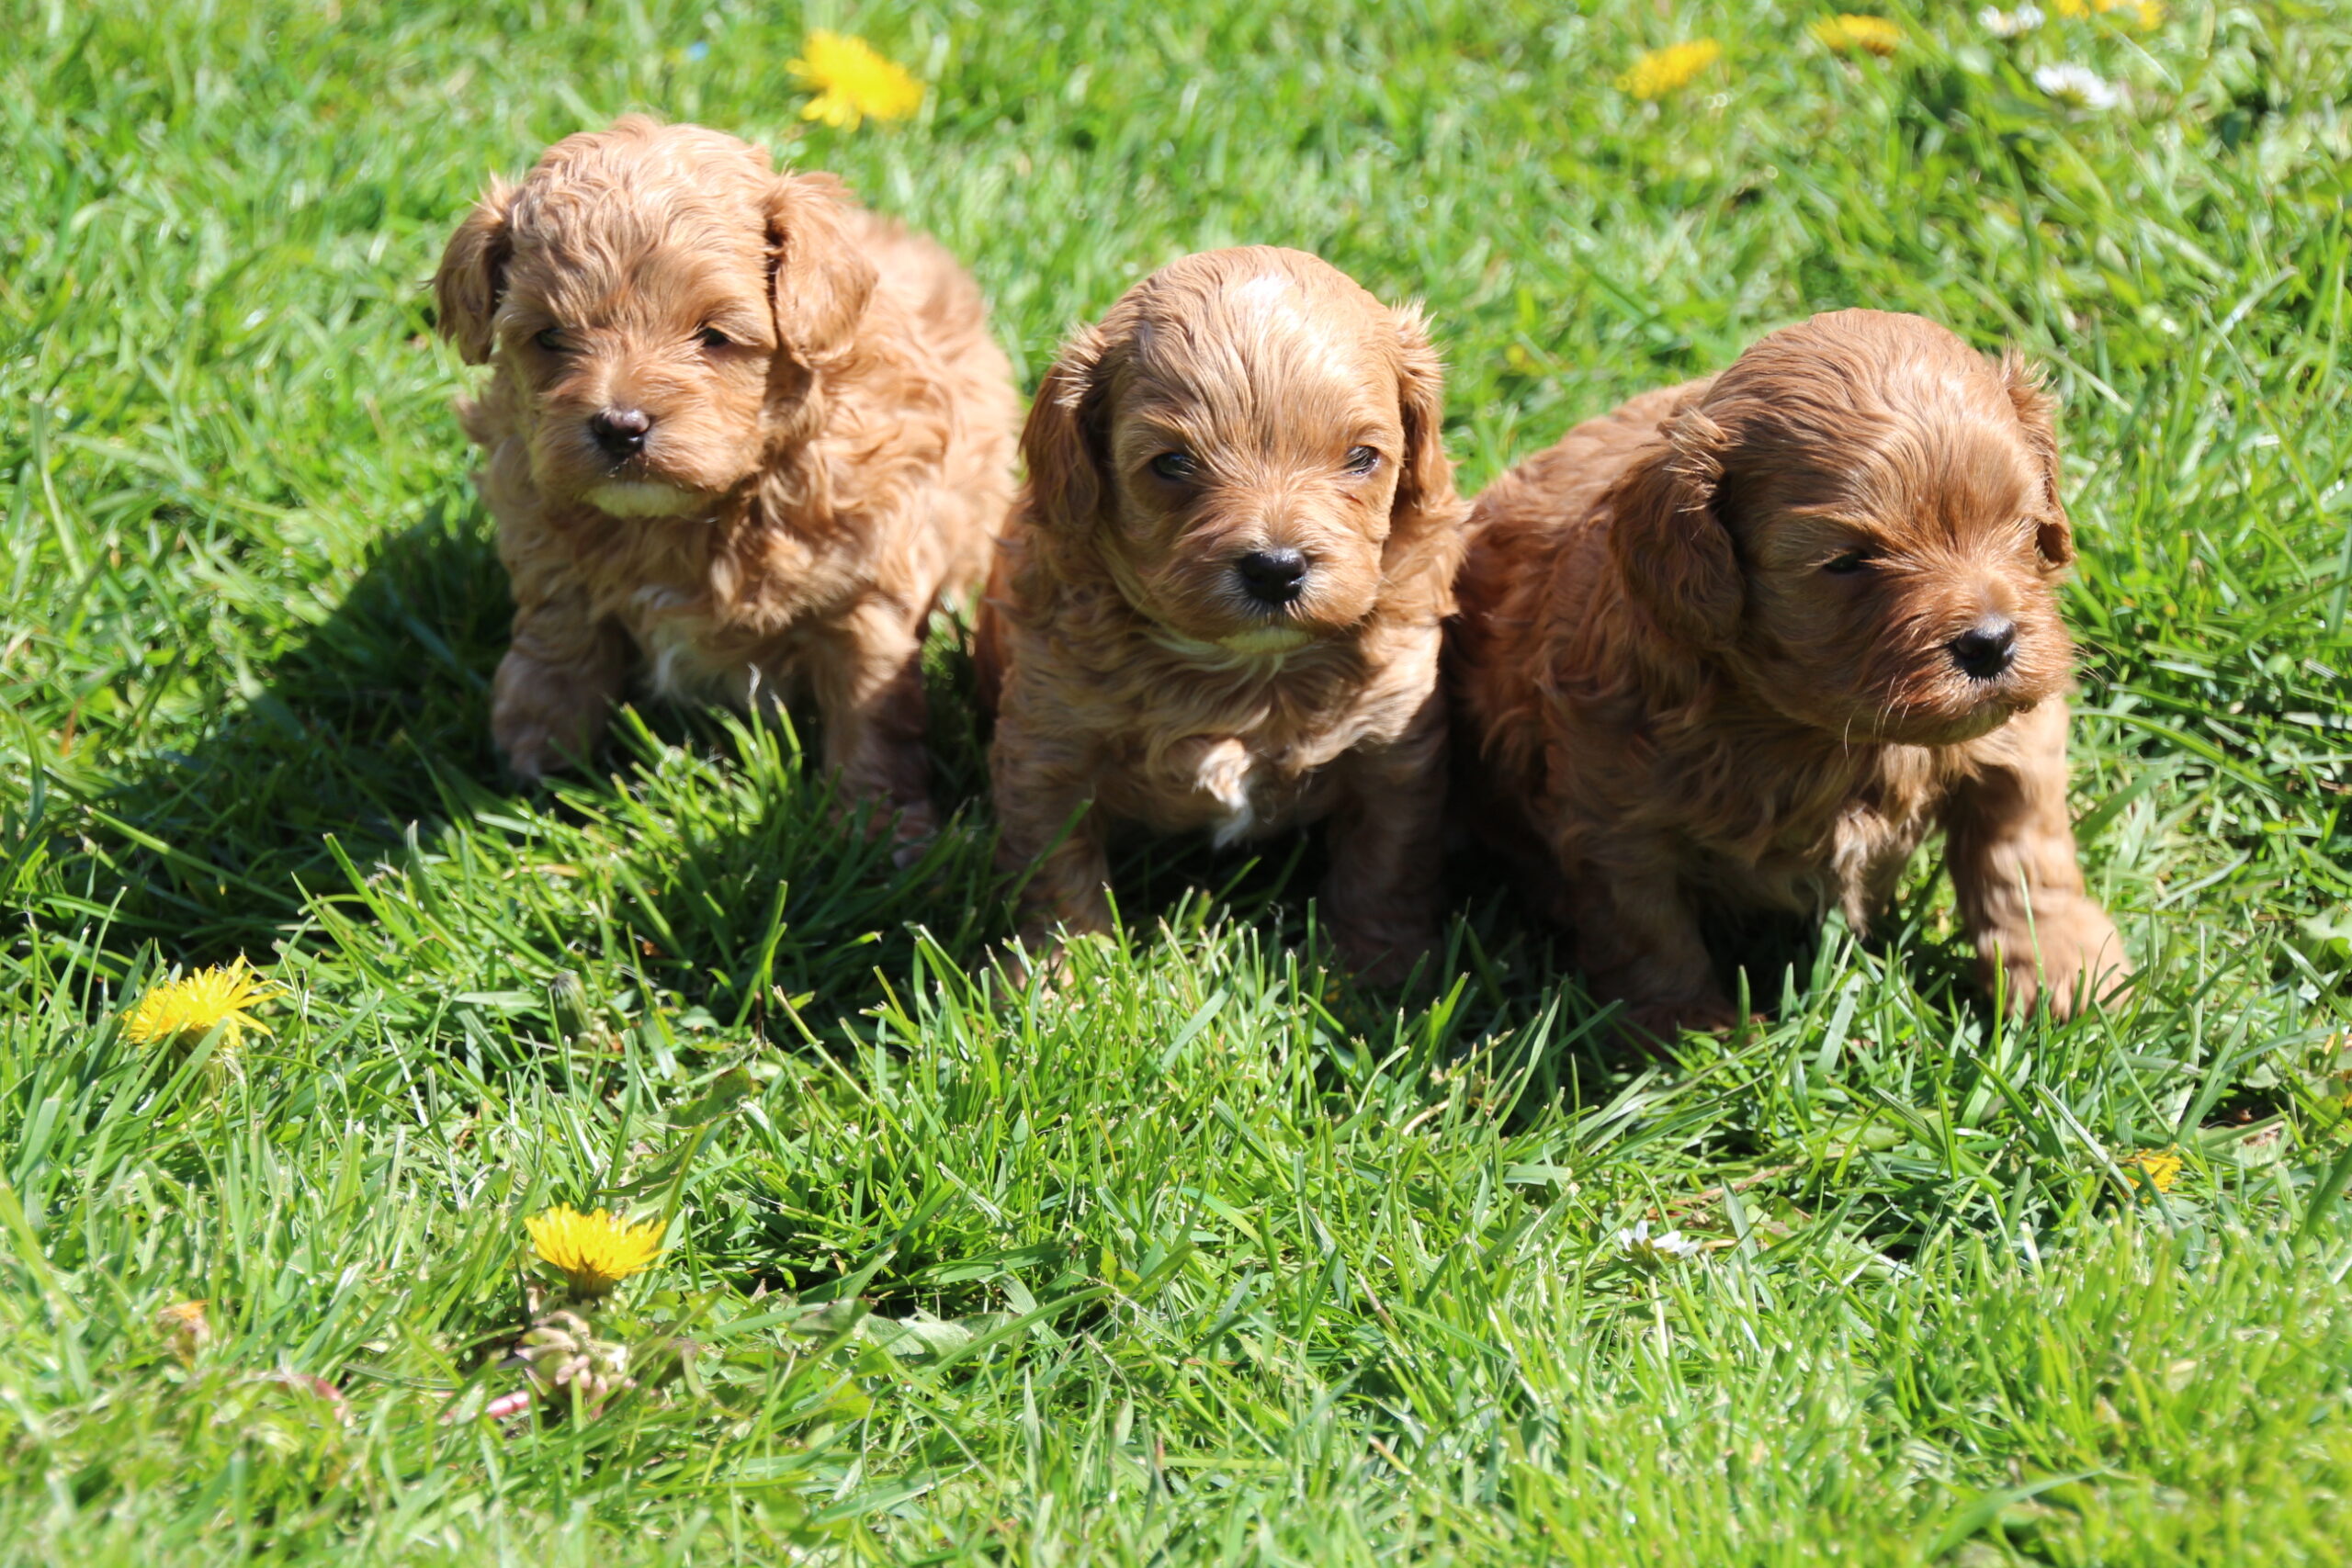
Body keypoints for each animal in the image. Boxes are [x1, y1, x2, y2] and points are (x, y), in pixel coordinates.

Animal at [437, 118, 1015, 846]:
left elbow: (871, 710)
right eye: (549, 337)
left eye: (712, 336)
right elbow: (559, 643)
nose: (620, 426)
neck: (689, 519)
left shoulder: (865, 584)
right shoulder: (548, 548)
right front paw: (537, 762)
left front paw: (877, 828)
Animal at [978, 245, 1458, 982]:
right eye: (1173, 463)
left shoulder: (1394, 744)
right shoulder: (1048, 742)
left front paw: (1379, 970)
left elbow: (1385, 864)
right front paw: (1067, 978)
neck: (1243, 670)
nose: (1277, 568)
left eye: (1362, 458)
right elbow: (1056, 870)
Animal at [1448, 310, 2135, 1034]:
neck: (1828, 735)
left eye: (2019, 524)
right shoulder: (1609, 807)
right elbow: (1645, 927)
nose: (1992, 642)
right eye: (1848, 561)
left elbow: (2026, 848)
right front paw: (1688, 1029)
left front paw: (2068, 969)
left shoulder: (2019, 734)